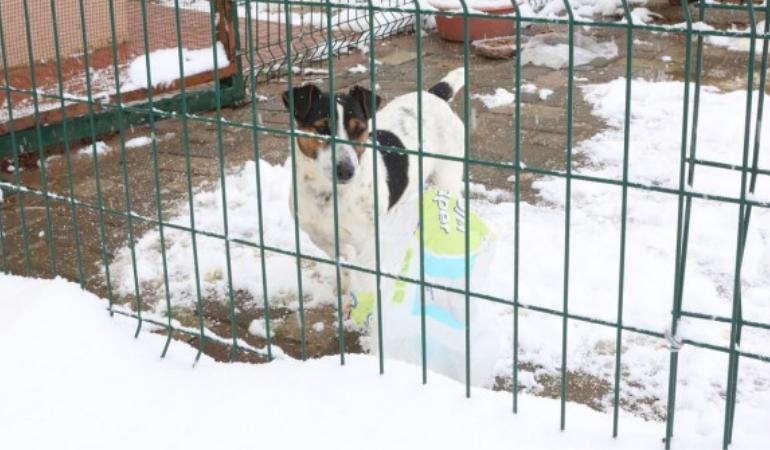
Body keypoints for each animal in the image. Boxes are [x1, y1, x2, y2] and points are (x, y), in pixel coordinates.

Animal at [280, 68, 462, 274]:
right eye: (322, 129)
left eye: (359, 129)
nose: (347, 171)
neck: (329, 194)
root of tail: (434, 95)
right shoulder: (317, 235)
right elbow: (342, 257)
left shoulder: (367, 243)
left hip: (447, 178)